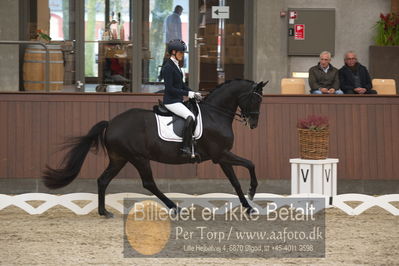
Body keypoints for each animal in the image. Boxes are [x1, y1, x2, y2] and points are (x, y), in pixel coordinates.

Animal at [43, 78, 268, 216]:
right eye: (255, 99)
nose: (254, 123)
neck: (216, 114)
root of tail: (112, 122)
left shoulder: (222, 156)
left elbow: (235, 181)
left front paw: (248, 206)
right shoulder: (220, 154)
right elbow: (251, 164)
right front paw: (252, 192)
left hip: (119, 158)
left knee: (103, 180)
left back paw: (104, 212)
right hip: (138, 158)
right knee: (149, 183)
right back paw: (175, 208)